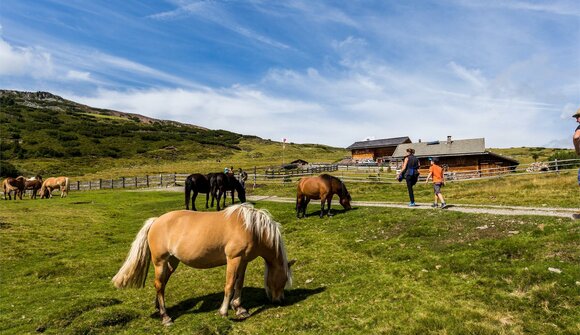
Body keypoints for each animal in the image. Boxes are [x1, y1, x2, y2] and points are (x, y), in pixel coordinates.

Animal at [112, 203, 294, 326]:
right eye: (284, 280)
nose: (280, 300)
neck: (251, 228)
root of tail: (156, 221)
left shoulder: (243, 261)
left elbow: (239, 284)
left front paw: (239, 308)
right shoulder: (233, 259)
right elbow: (229, 285)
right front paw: (224, 312)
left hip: (172, 262)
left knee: (161, 284)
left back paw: (159, 307)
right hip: (160, 261)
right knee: (159, 284)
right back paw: (165, 317)